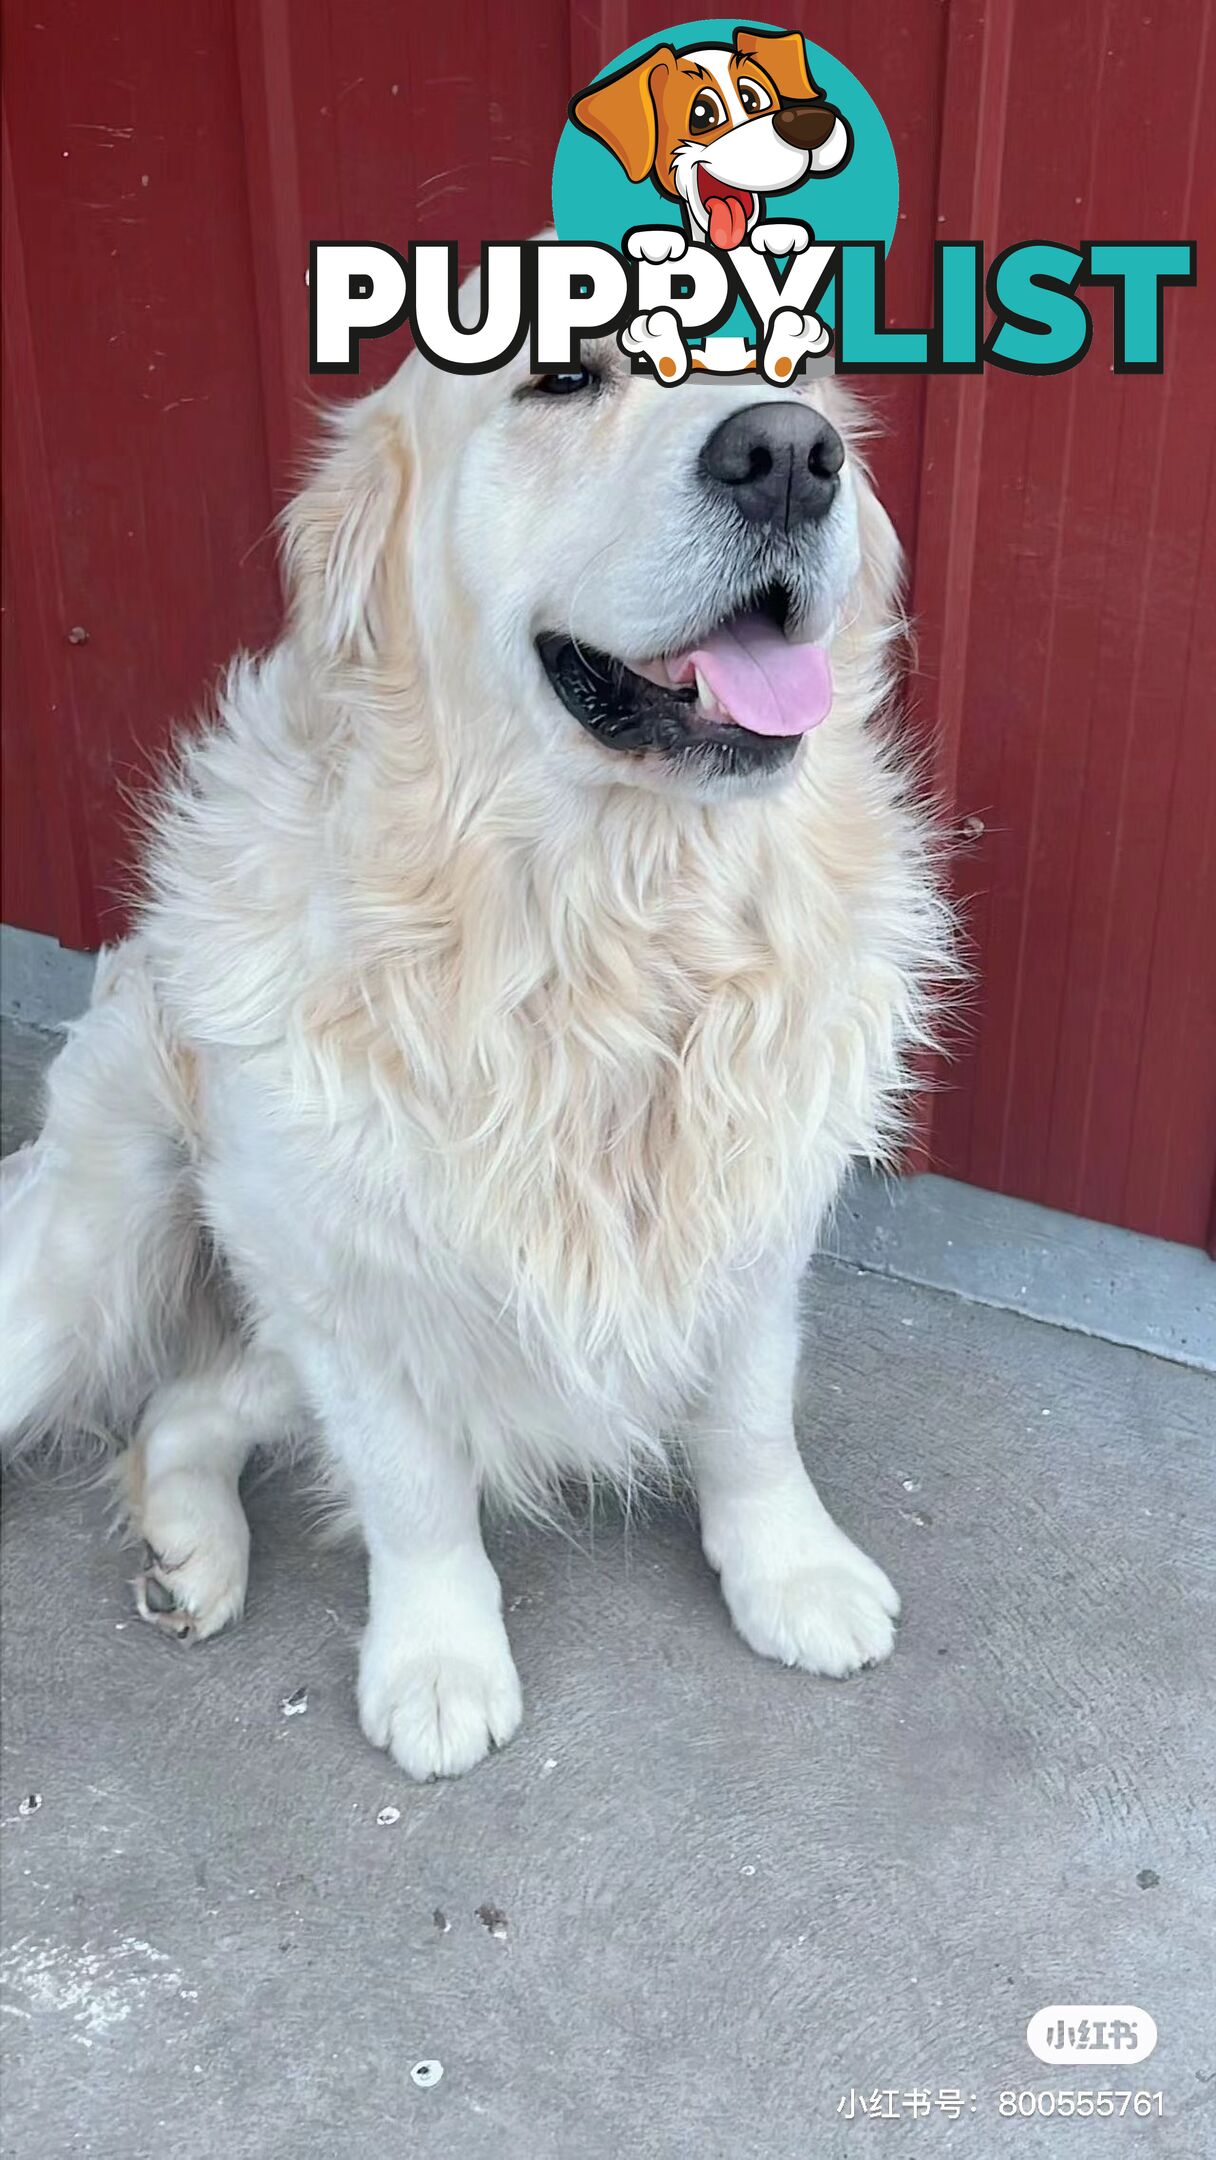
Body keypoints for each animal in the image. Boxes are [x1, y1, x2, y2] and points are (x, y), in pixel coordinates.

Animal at [0, 278, 950, 1779]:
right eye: (561, 375)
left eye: (789, 369)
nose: (792, 457)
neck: (601, 924)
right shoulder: (340, 1288)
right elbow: (415, 1493)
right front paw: (439, 1663)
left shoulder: (756, 1222)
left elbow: (749, 1419)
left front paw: (790, 1572)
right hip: (90, 1258)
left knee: (178, 1403)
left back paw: (190, 1550)